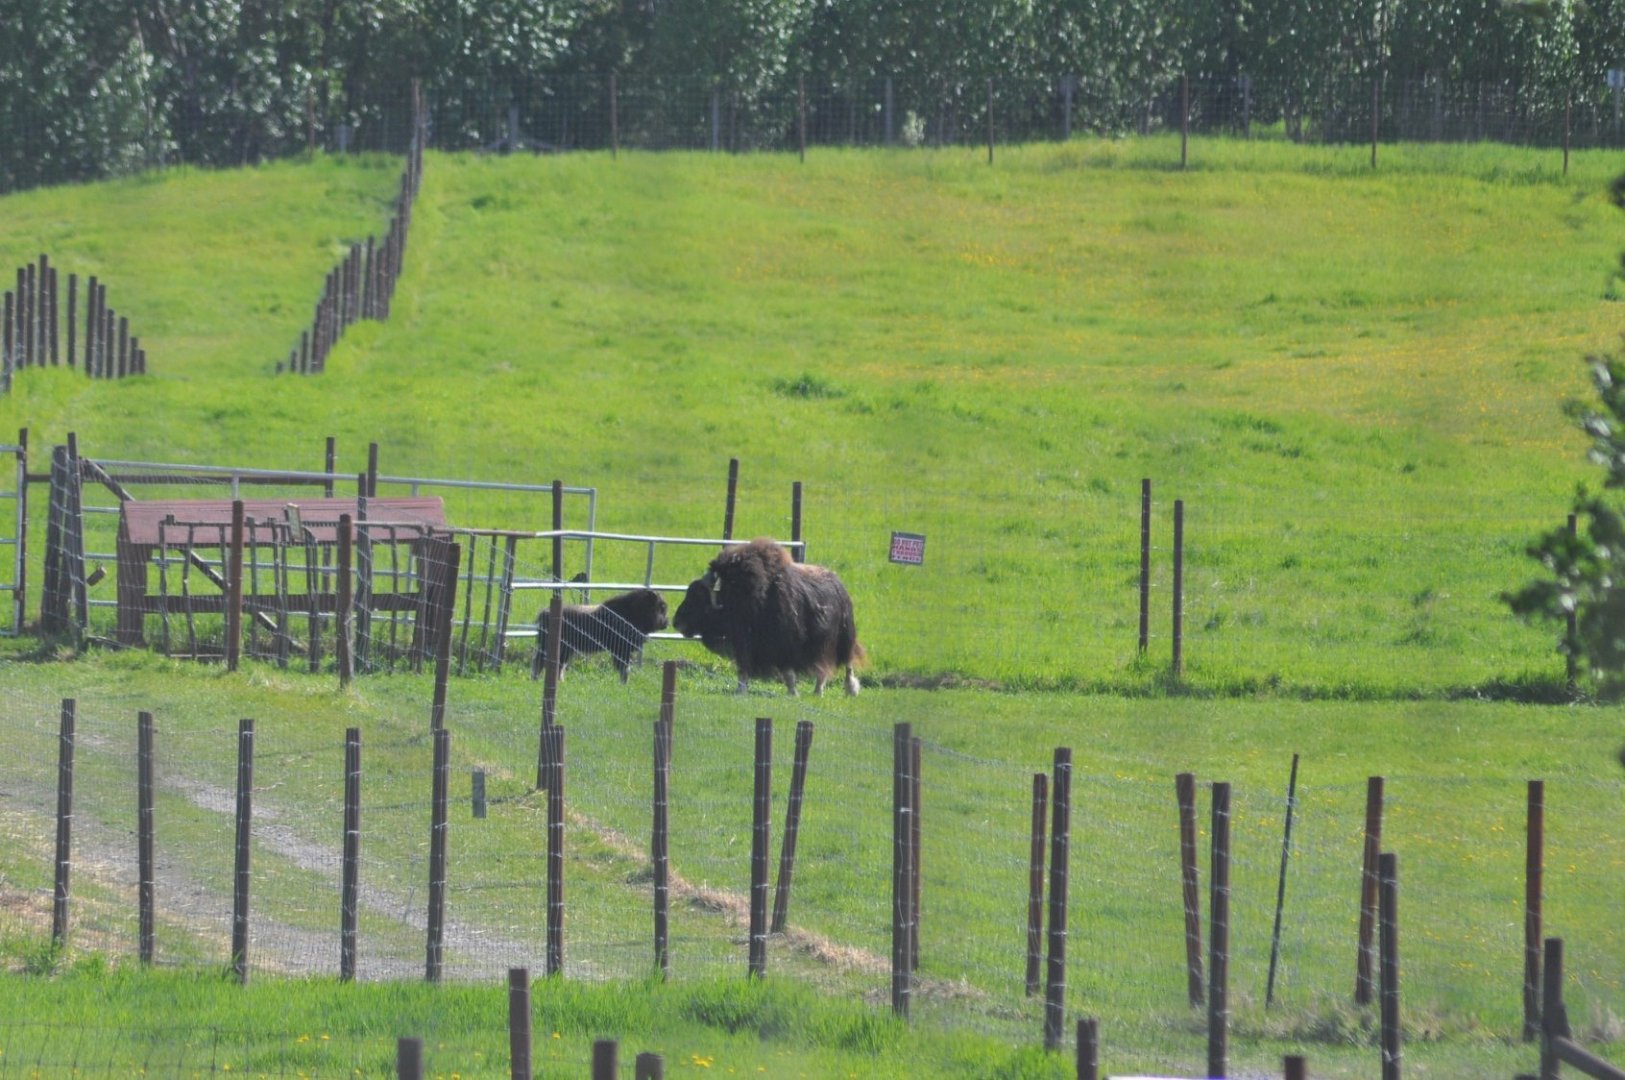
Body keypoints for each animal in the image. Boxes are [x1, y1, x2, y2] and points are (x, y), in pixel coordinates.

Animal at [532, 587, 669, 682]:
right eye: (661, 607)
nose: (667, 623)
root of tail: (544, 613)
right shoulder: (622, 650)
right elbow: (624, 668)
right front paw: (624, 683)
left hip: (565, 649)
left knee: (558, 664)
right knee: (540, 661)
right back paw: (536, 679)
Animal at [673, 538, 862, 696]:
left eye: (699, 597)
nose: (676, 623)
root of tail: (839, 583)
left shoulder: (784, 643)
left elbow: (787, 672)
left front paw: (792, 693)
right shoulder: (745, 643)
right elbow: (743, 669)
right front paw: (740, 691)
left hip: (843, 638)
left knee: (844, 664)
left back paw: (845, 690)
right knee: (822, 667)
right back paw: (818, 691)